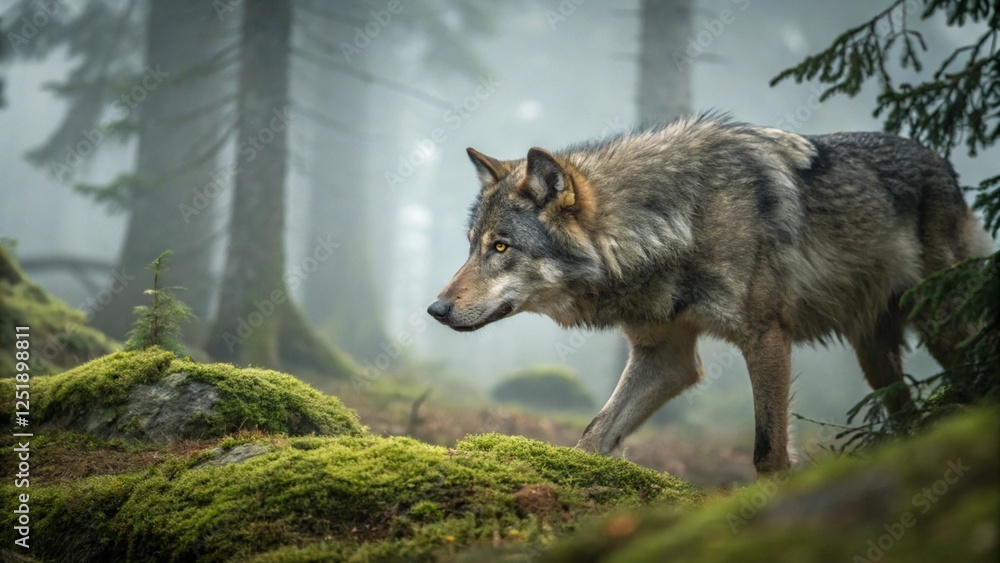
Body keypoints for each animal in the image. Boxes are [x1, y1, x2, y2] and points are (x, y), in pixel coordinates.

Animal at [427, 115, 993, 475]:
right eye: (472, 246)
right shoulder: (666, 357)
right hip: (874, 354)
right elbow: (593, 435)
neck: (676, 224)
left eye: (501, 247)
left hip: (943, 324)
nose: (435, 309)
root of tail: (946, 166)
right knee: (906, 414)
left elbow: (768, 453)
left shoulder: (766, 338)